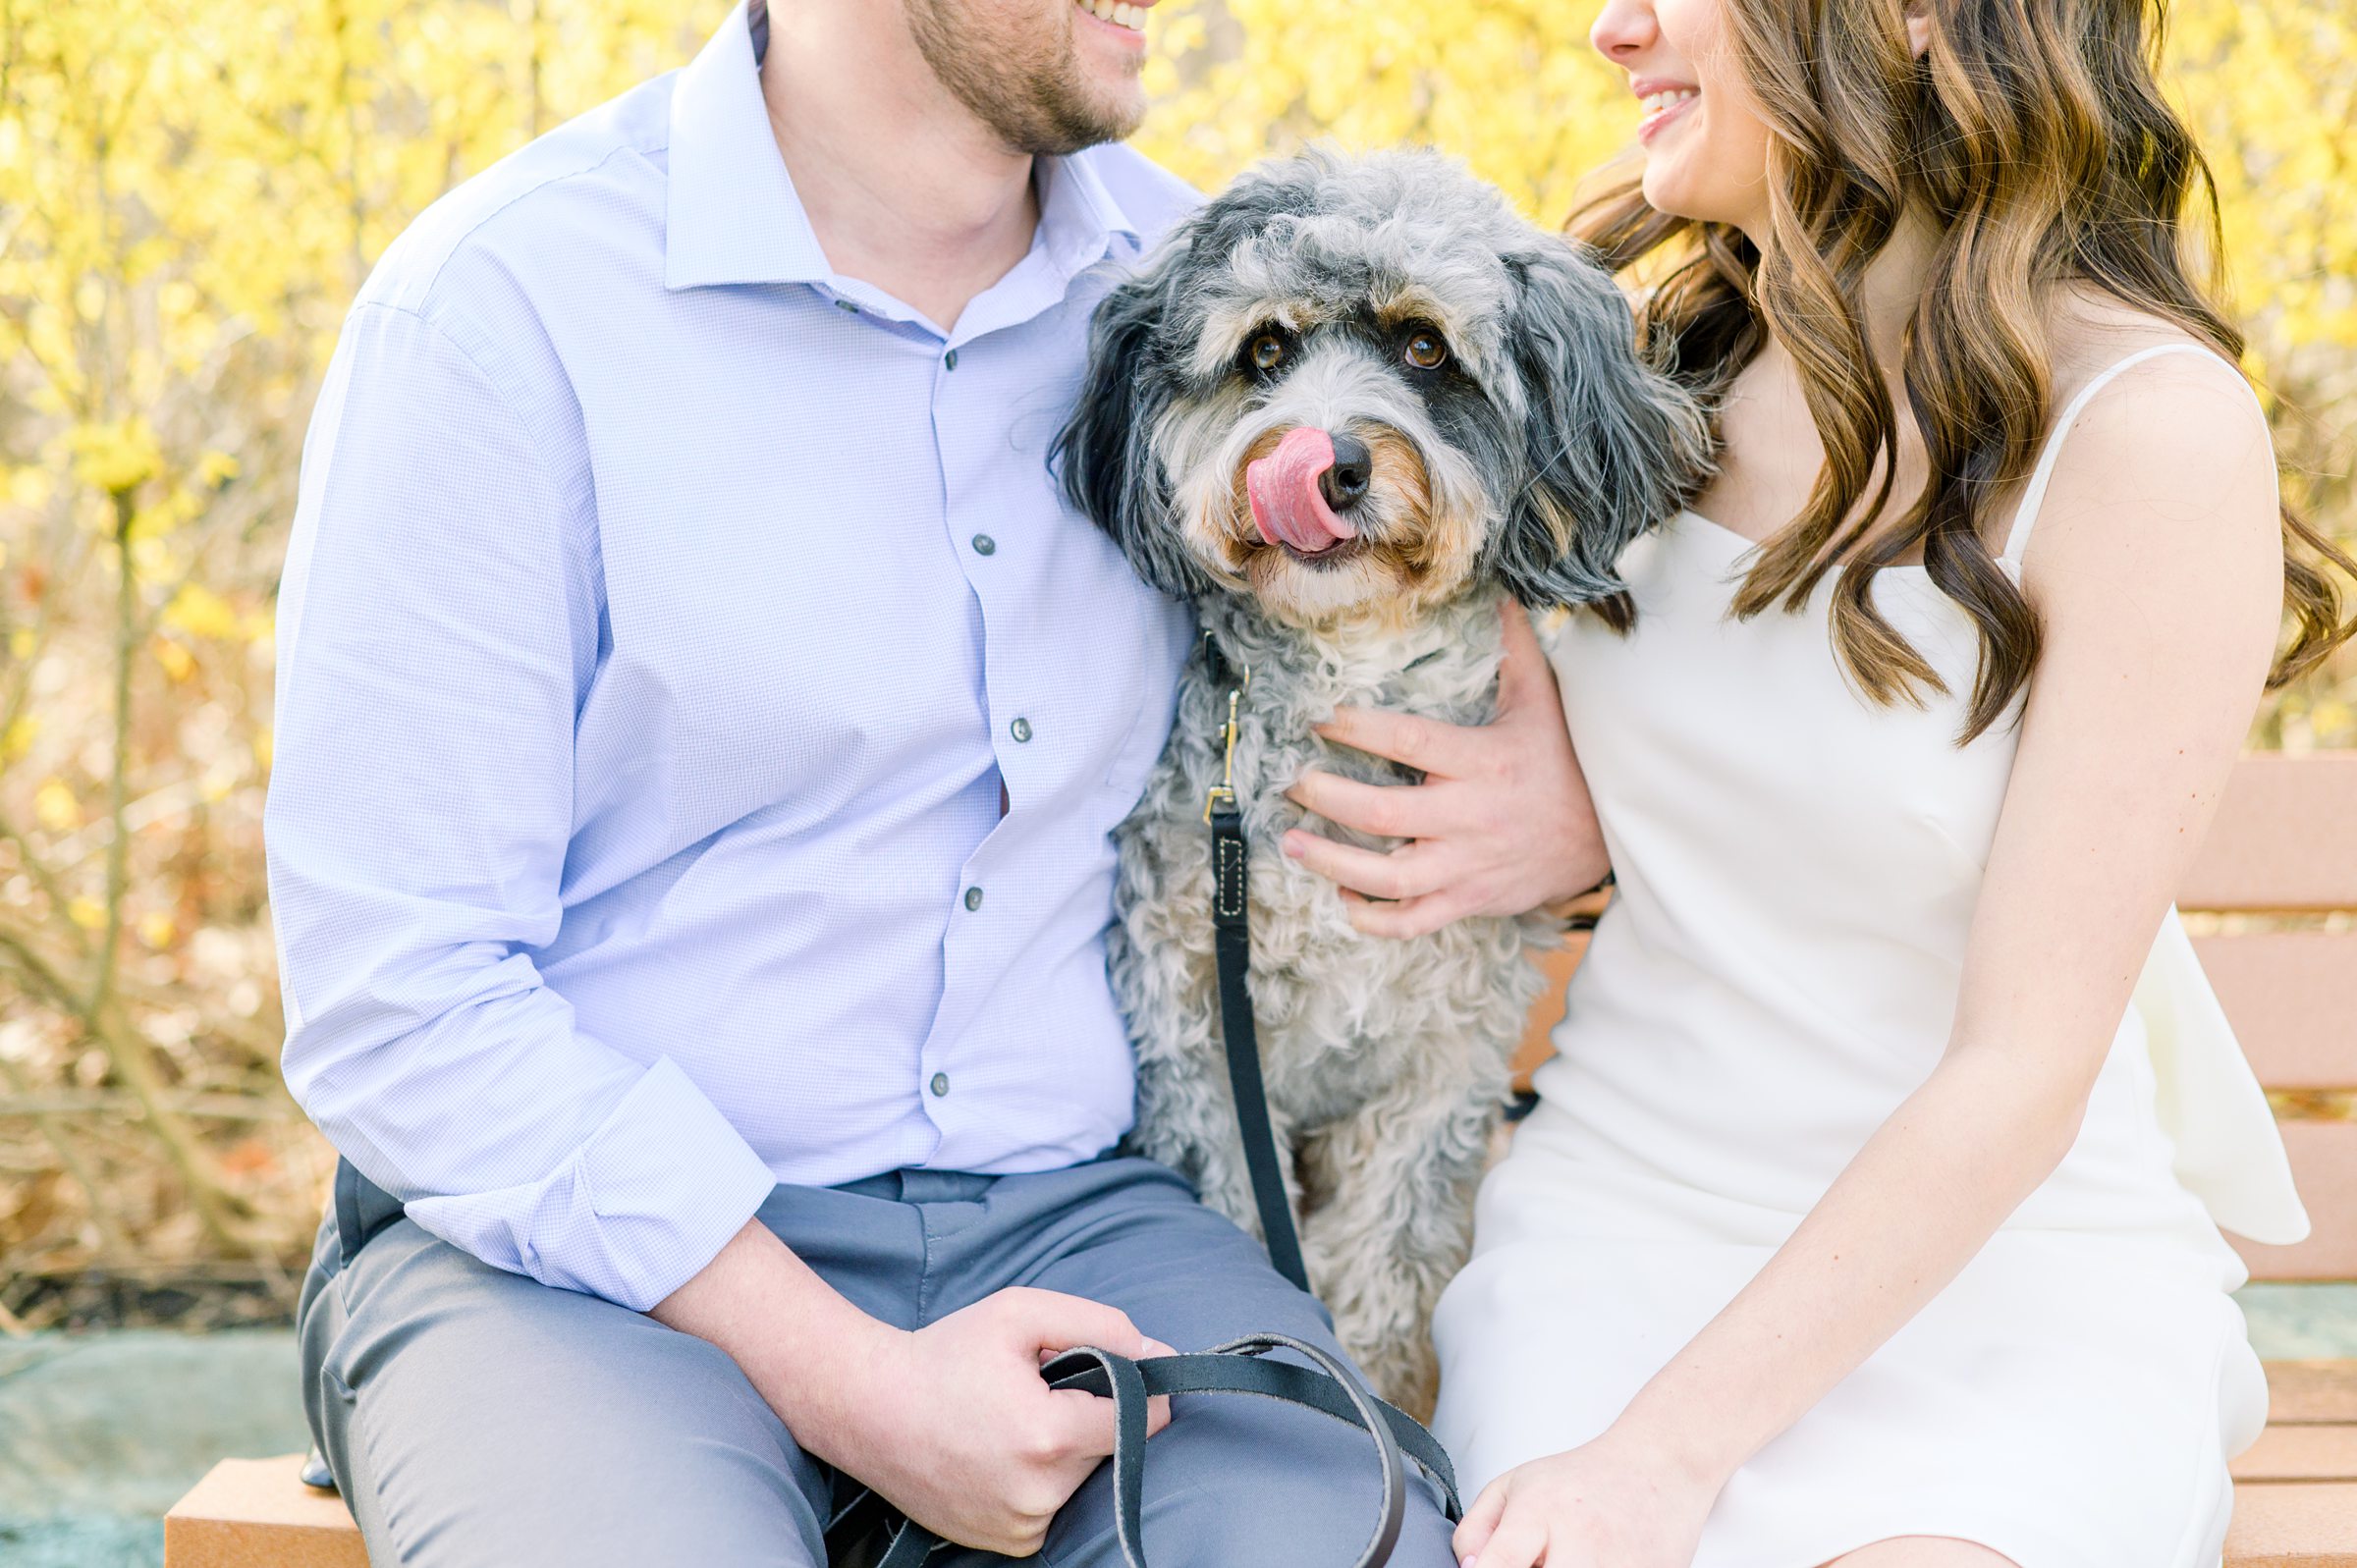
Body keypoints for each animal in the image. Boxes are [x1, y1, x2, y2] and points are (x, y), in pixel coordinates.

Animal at [1061, 153, 1706, 1414]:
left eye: (1423, 347)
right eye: (1265, 349)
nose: (1328, 463)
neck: (1346, 676)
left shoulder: (1441, 1070)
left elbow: (1388, 1263)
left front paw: (1383, 1392)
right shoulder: (1198, 1048)